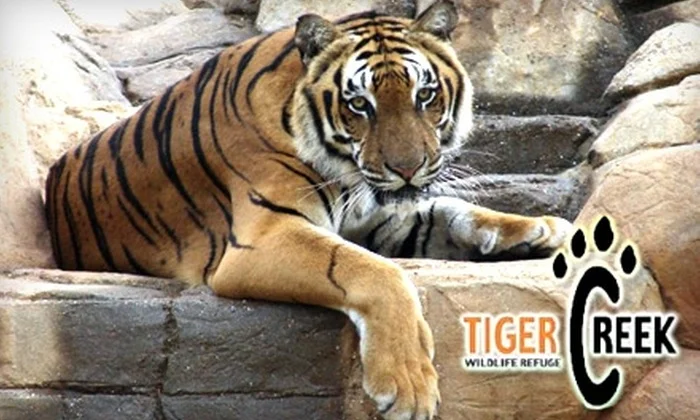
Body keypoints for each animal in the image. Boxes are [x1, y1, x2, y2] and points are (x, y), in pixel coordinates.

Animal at [44, 1, 573, 418]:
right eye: (360, 105)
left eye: (425, 95)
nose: (407, 169)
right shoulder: (263, 236)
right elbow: (378, 273)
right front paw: (408, 385)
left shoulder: (375, 217)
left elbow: (451, 210)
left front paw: (545, 229)